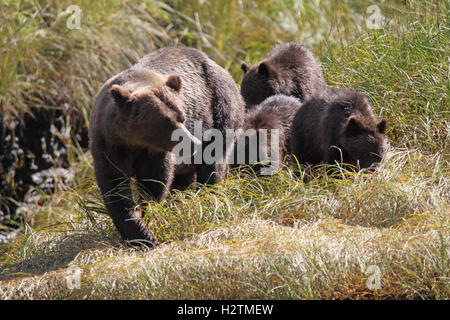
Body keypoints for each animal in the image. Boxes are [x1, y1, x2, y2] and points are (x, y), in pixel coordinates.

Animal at [89, 46, 244, 246]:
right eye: (167, 122)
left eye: (182, 117)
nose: (194, 143)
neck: (134, 141)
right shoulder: (110, 145)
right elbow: (115, 187)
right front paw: (140, 235)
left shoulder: (154, 152)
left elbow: (154, 181)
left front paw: (149, 220)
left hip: (220, 110)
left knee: (213, 166)